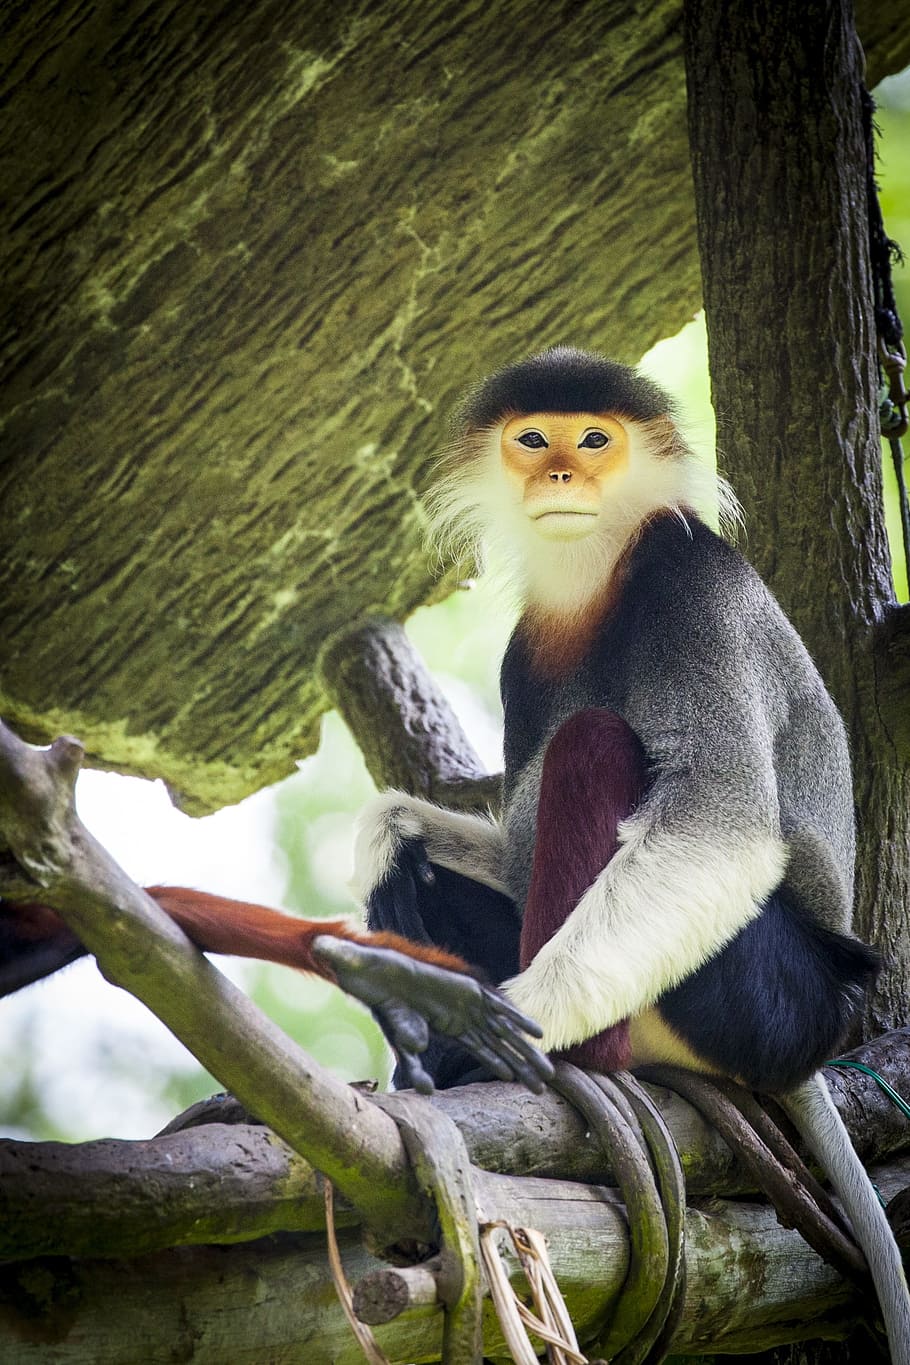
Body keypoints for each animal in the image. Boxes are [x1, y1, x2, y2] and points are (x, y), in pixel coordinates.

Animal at [355, 346, 910, 1359]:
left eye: (593, 440)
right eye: (533, 438)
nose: (559, 476)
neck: (597, 570)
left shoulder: (691, 582)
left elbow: (720, 827)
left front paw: (518, 1020)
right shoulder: (525, 648)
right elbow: (500, 844)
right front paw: (389, 836)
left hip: (768, 999)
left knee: (597, 740)